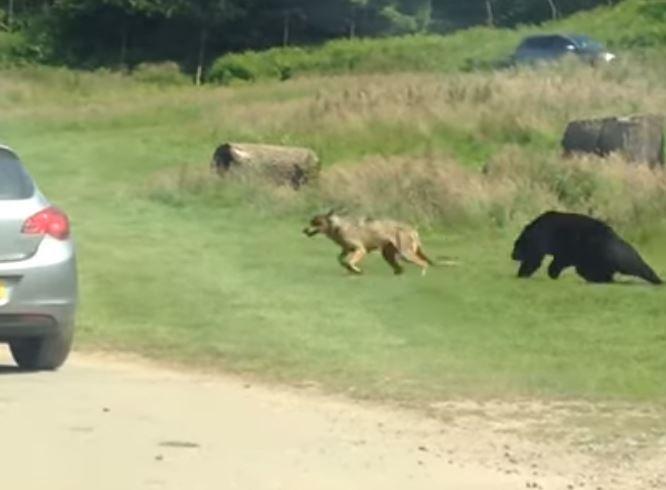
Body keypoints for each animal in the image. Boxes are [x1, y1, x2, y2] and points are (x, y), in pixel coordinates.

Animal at [303, 210, 434, 275]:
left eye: (316, 222)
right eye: (311, 222)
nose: (304, 230)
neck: (337, 226)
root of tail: (412, 229)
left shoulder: (361, 250)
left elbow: (350, 262)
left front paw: (356, 270)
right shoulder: (346, 250)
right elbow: (340, 259)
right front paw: (349, 268)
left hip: (405, 254)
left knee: (424, 264)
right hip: (388, 255)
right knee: (400, 269)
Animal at [511, 211, 662, 285]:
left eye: (517, 246)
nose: (512, 255)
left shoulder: (544, 240)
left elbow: (535, 259)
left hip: (598, 252)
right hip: (594, 258)